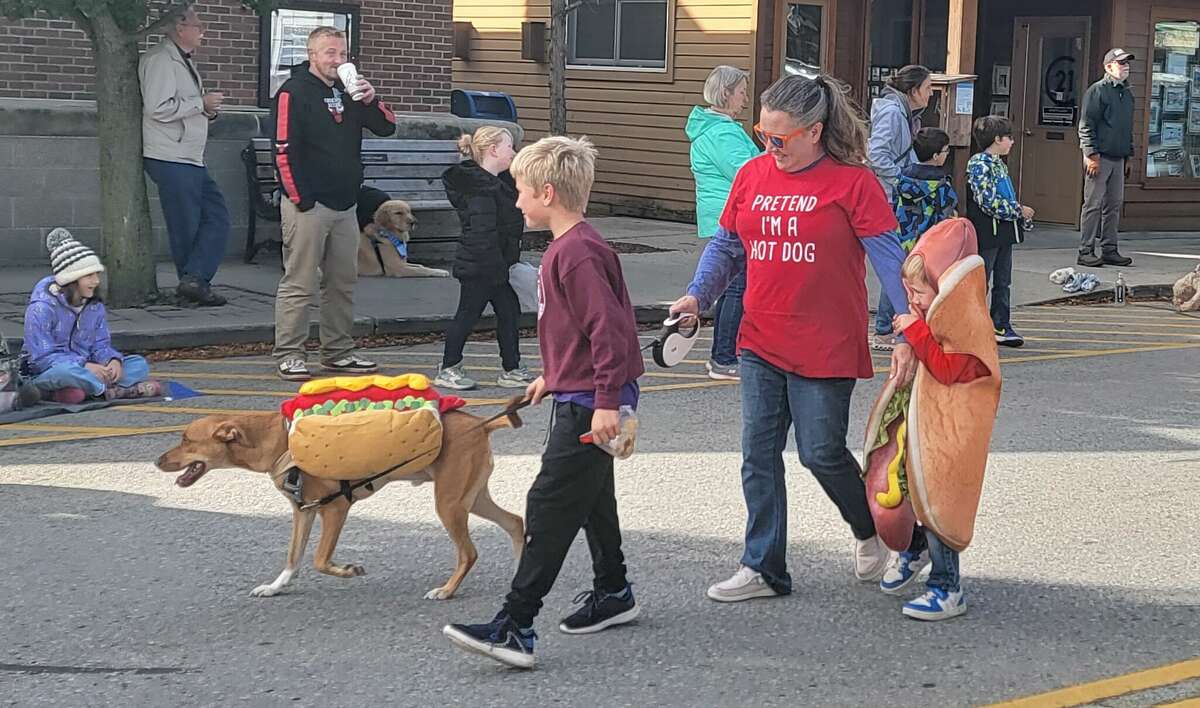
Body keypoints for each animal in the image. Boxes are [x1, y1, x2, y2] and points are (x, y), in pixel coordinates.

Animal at [153, 408, 520, 602]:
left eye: (186, 439)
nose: (157, 461)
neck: (279, 441)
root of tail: (480, 421)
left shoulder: (335, 509)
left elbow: (318, 559)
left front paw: (347, 570)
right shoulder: (303, 512)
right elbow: (294, 558)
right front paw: (275, 587)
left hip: (449, 503)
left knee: (469, 552)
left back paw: (447, 590)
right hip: (471, 498)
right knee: (516, 522)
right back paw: (518, 569)